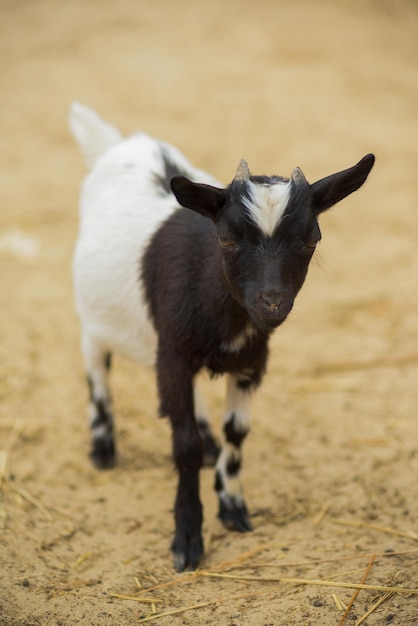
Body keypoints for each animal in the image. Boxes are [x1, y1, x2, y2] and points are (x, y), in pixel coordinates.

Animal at [69, 103, 376, 572]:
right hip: (94, 315)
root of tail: (122, 143)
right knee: (96, 365)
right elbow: (183, 447)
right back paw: (103, 446)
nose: (272, 304)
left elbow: (237, 431)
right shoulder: (173, 356)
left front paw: (232, 506)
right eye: (227, 239)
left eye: (311, 240)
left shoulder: (250, 362)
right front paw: (187, 540)